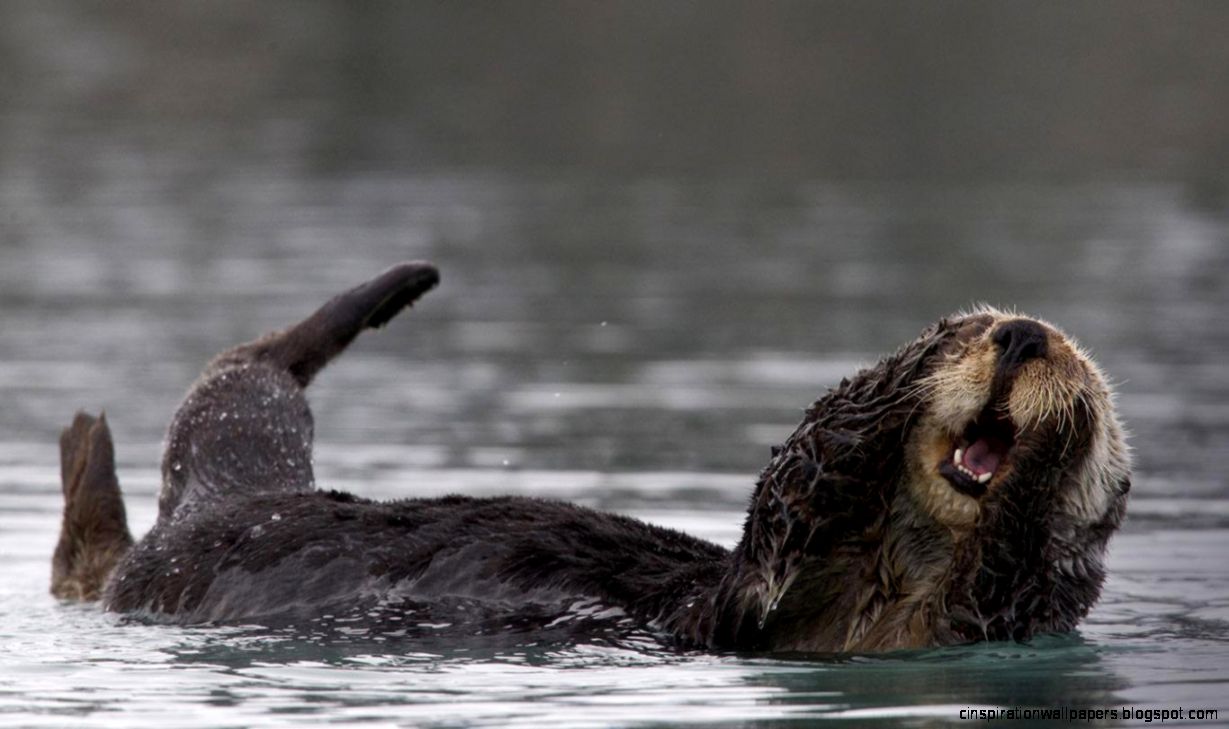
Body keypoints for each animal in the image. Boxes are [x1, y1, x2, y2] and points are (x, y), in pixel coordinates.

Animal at [51, 262, 1130, 653]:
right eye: (969, 332)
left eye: (1083, 375)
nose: (1023, 336)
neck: (896, 569)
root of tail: (236, 501)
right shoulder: (766, 574)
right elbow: (806, 467)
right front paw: (905, 368)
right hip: (237, 455)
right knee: (251, 370)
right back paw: (398, 283)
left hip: (192, 525)